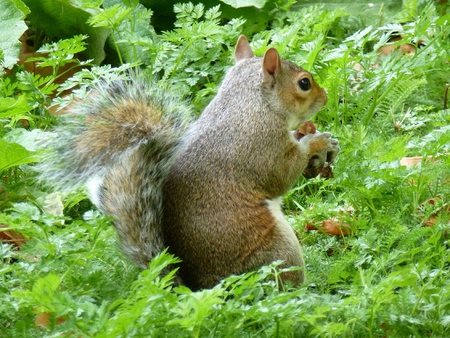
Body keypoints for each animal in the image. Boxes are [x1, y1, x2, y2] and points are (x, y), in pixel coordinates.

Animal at [40, 36, 340, 290]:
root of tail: (199, 289)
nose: (325, 97)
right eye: (304, 83)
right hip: (279, 253)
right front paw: (317, 143)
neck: (251, 103)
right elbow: (282, 175)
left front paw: (308, 135)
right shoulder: (261, 145)